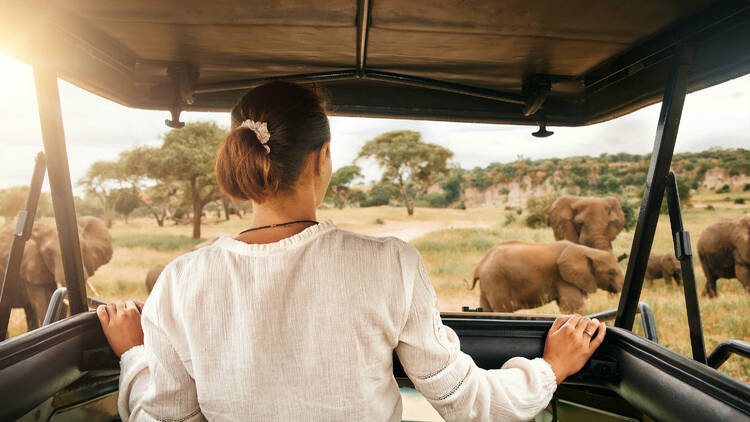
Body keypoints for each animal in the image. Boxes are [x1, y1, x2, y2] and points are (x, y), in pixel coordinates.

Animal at [468, 241, 624, 314]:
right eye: (611, 272)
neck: (588, 251)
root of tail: (480, 265)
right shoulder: (563, 278)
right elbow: (573, 307)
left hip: (488, 284)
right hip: (496, 281)